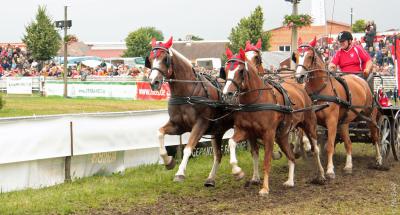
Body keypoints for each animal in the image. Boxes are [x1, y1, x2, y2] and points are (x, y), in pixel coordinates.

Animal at [147, 37, 239, 186]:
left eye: (165, 58)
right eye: (150, 59)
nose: (153, 82)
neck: (187, 93)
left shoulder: (200, 125)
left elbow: (188, 148)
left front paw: (180, 173)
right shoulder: (178, 125)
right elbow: (160, 133)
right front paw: (168, 161)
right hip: (218, 131)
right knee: (218, 155)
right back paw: (210, 179)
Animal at [222, 47, 324, 196]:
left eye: (240, 71)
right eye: (224, 70)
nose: (227, 94)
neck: (255, 100)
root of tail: (300, 88)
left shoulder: (268, 135)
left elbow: (266, 161)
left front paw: (265, 188)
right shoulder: (245, 131)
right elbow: (231, 142)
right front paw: (237, 171)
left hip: (309, 126)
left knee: (315, 149)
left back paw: (322, 174)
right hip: (282, 136)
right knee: (291, 157)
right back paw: (290, 181)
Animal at [294, 37, 382, 179]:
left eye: (310, 56)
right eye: (295, 56)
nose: (299, 77)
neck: (321, 89)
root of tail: (360, 79)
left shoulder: (331, 121)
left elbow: (329, 145)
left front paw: (330, 170)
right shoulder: (310, 117)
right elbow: (301, 132)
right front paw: (302, 147)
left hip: (370, 116)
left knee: (375, 136)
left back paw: (379, 159)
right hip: (344, 123)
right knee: (348, 143)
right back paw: (348, 166)